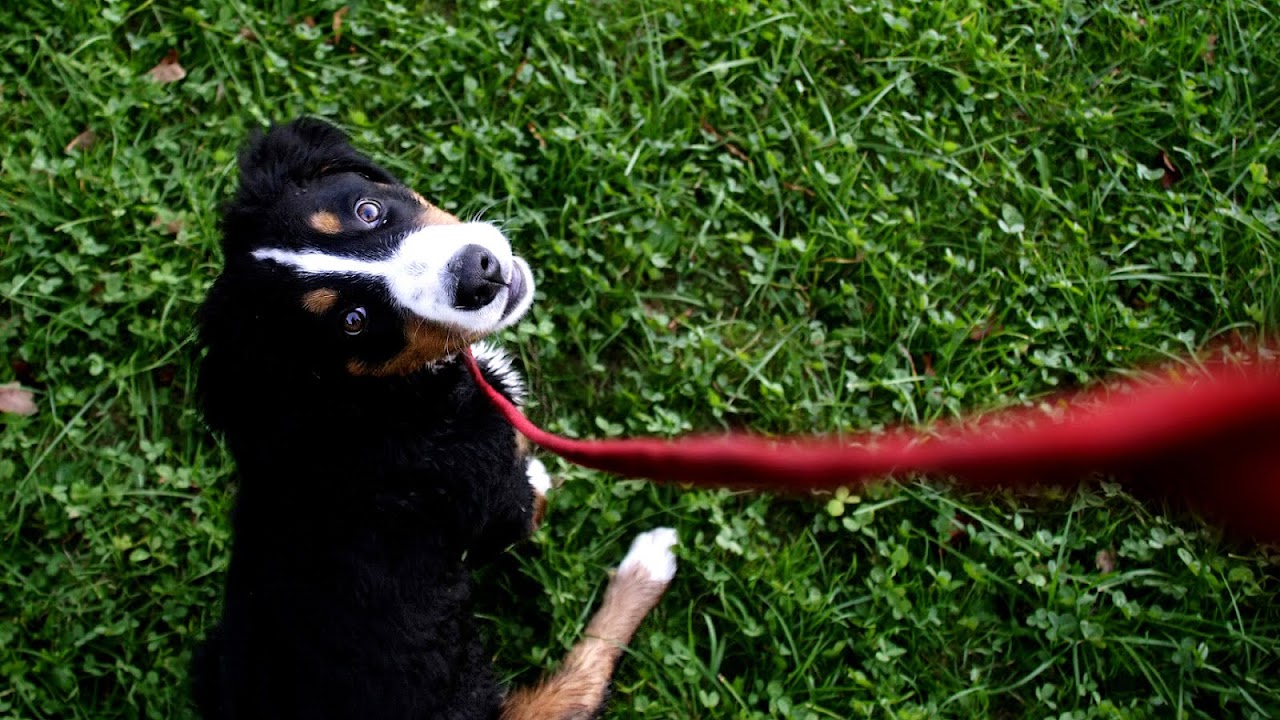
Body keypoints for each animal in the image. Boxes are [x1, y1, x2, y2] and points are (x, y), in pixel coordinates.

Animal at [193, 119, 675, 717]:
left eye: (368, 210)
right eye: (353, 320)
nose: (479, 274)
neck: (382, 400)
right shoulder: (495, 508)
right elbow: (528, 501)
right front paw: (540, 476)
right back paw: (648, 563)